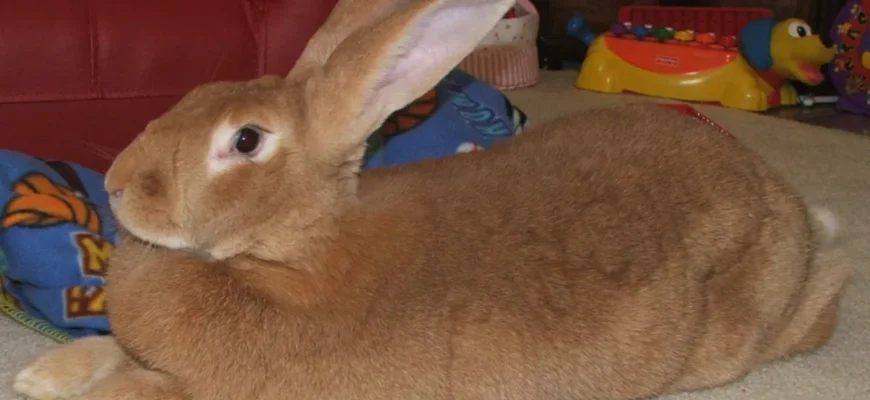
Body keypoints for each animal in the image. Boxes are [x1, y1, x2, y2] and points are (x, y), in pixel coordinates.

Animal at [13, 0, 852, 398]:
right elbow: (105, 348)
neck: (293, 253)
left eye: (245, 141)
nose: (118, 184)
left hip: (749, 330)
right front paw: (38, 377)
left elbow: (133, 388)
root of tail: (781, 197)